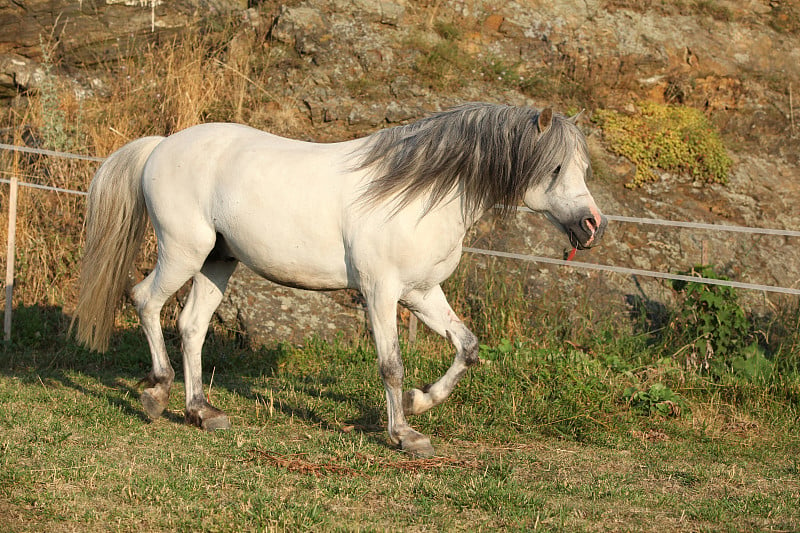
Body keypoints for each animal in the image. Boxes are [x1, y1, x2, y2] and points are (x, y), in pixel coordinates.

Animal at [73, 104, 608, 458]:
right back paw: (156, 395)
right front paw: (404, 435)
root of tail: (160, 146)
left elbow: (468, 346)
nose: (591, 226)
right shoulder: (380, 292)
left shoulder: (421, 293)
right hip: (184, 251)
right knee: (144, 300)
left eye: (582, 167)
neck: (417, 194)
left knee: (191, 327)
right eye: (555, 167)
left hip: (217, 261)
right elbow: (391, 365)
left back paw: (202, 412)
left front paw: (419, 403)